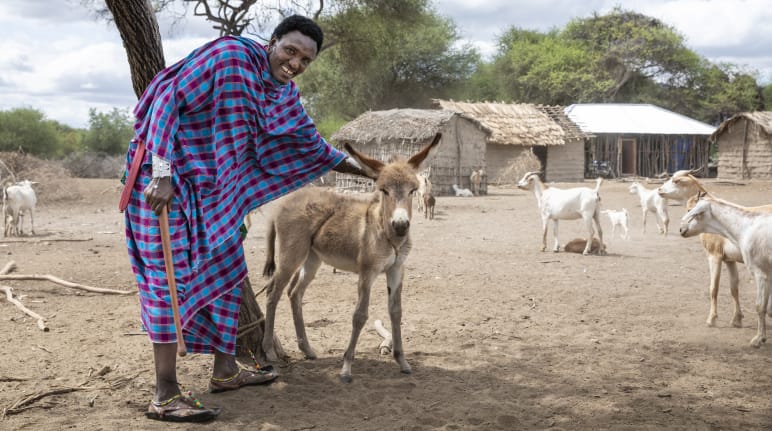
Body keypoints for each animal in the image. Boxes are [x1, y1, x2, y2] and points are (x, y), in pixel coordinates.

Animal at [656, 170, 772, 330]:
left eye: (676, 181)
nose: (659, 190)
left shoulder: (714, 255)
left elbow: (713, 288)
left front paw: (711, 319)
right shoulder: (729, 260)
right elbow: (734, 288)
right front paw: (737, 319)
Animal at [680, 194, 772, 350]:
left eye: (694, 212)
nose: (681, 229)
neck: (745, 228)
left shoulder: (760, 273)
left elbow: (760, 306)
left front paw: (759, 339)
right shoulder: (731, 260)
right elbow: (734, 289)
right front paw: (737, 320)